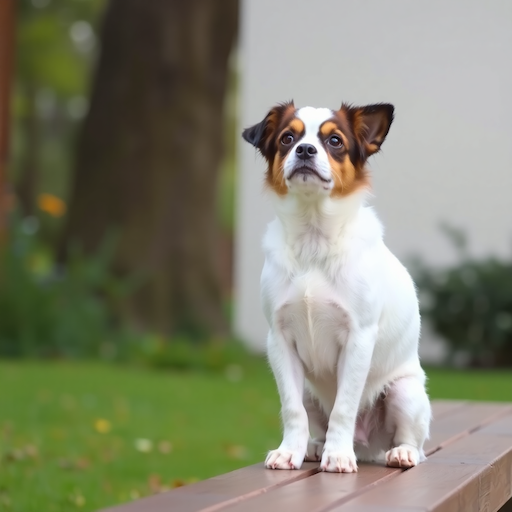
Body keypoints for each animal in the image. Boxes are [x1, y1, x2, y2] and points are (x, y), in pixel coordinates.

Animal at [242, 102, 430, 474]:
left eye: (335, 141)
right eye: (287, 138)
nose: (305, 150)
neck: (314, 240)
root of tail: (368, 446)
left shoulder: (359, 338)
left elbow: (344, 406)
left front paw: (339, 455)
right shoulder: (279, 340)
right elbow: (292, 410)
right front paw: (290, 451)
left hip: (405, 392)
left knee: (413, 442)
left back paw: (398, 453)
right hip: (309, 390)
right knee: (314, 418)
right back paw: (315, 446)